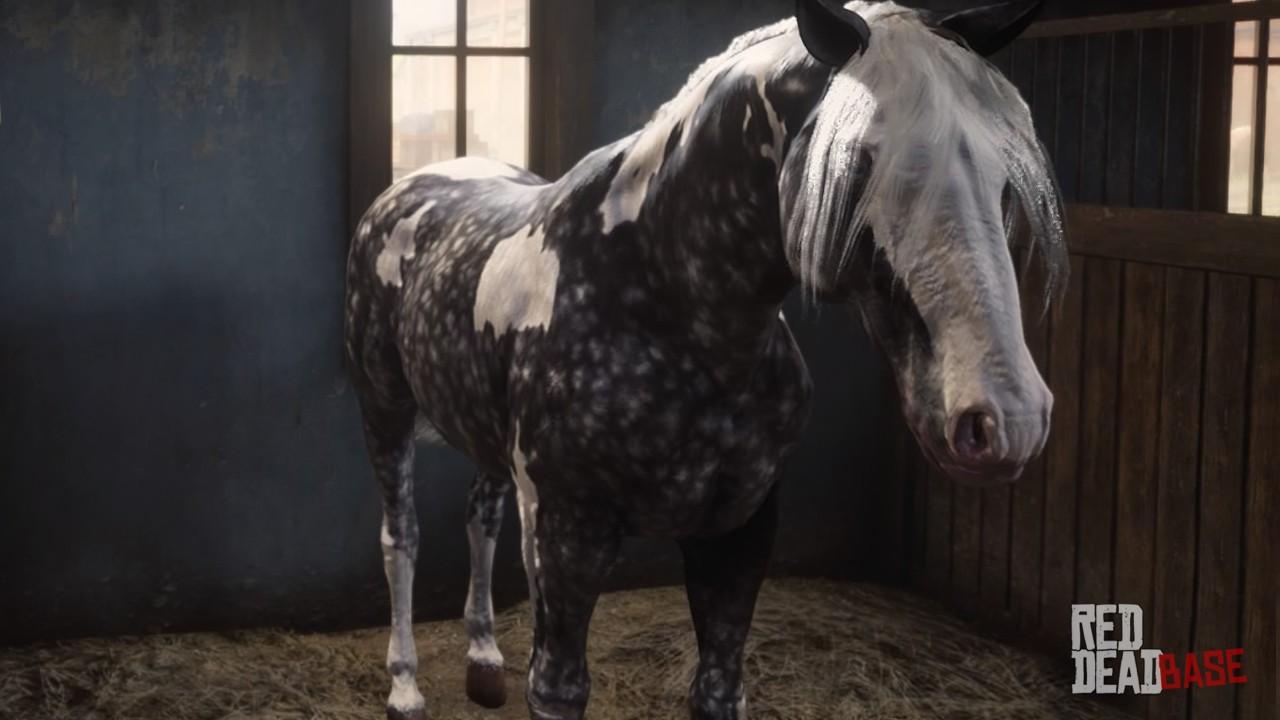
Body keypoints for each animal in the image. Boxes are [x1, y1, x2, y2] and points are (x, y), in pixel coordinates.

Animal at [343, 1, 1065, 718]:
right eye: (859, 160)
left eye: (1006, 176)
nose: (1006, 417)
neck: (663, 301)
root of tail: (411, 187)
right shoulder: (564, 535)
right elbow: (556, 686)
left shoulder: (739, 532)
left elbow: (717, 687)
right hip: (384, 414)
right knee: (400, 538)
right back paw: (405, 686)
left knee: (481, 517)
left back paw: (484, 660)